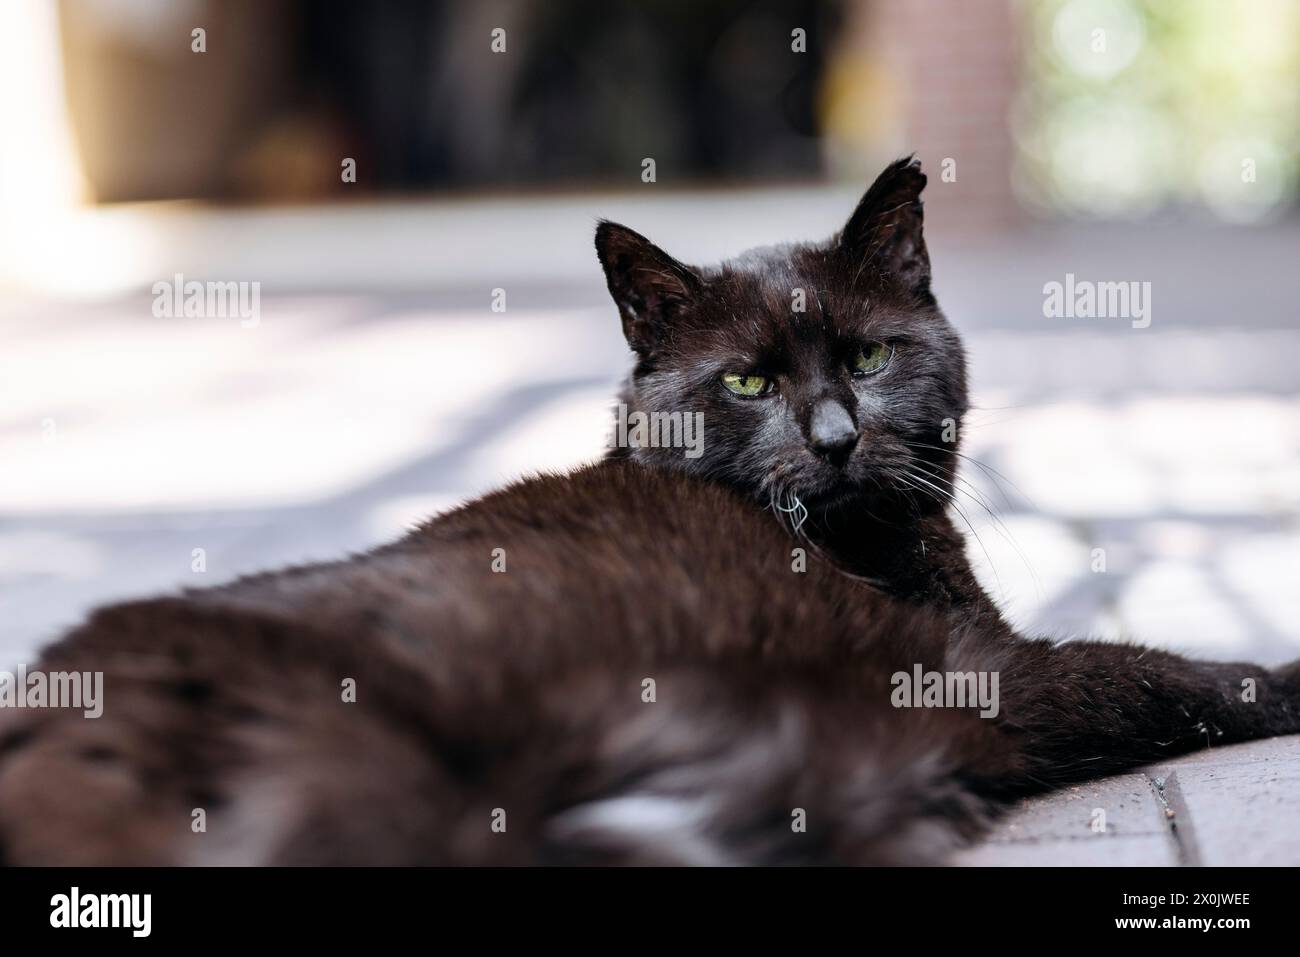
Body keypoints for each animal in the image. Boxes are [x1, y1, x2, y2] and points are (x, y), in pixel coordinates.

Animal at [2, 162, 1300, 868]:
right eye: (749, 381)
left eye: (871, 356)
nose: (836, 438)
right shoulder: (985, 670)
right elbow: (1171, 672)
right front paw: (1281, 675)